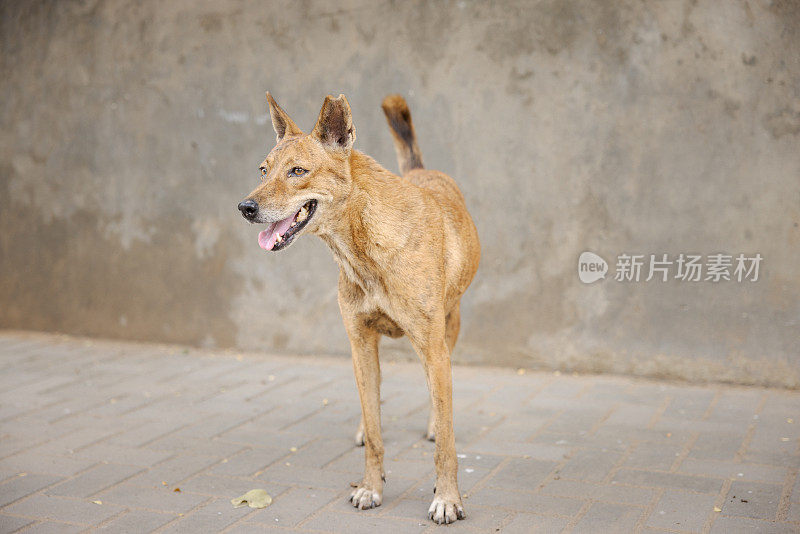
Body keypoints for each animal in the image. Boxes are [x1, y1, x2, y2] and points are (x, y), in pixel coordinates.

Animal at [238, 93, 482, 528]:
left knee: (440, 398)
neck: (363, 244)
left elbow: (446, 441)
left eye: (298, 171)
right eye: (263, 170)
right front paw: (371, 486)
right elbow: (374, 431)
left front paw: (447, 498)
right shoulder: (360, 342)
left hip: (449, 328)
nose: (245, 207)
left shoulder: (433, 346)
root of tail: (420, 171)